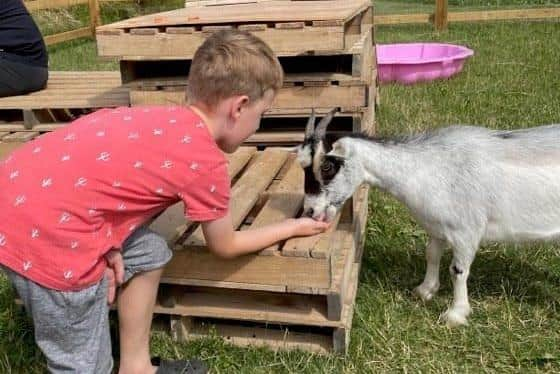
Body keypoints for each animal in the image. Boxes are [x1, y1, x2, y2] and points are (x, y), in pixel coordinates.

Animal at [300, 107, 560, 324]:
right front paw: (425, 290)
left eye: (327, 166)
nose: (310, 210)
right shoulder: (437, 227)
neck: (429, 167)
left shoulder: (466, 232)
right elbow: (432, 254)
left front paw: (455, 314)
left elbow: (458, 271)